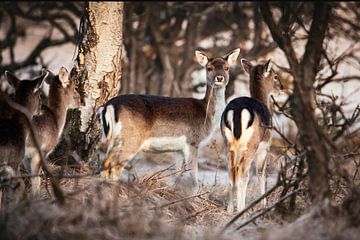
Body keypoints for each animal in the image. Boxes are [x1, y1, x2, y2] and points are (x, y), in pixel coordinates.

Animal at [21, 66, 85, 194]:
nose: (83, 102)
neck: (56, 123)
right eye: (75, 87)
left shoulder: (27, 157)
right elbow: (36, 179)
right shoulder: (41, 150)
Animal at [97, 47, 240, 189]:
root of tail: (109, 106)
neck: (207, 116)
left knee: (106, 162)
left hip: (115, 139)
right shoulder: (192, 142)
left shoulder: (178, 150)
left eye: (227, 68)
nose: (219, 78)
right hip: (132, 138)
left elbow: (177, 174)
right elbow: (194, 178)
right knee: (115, 166)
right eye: (209, 68)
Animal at [219, 59, 282, 213]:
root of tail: (237, 111)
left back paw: (230, 209)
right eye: (275, 76)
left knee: (231, 171)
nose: (281, 87)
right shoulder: (265, 146)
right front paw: (264, 204)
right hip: (251, 145)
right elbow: (261, 173)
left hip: (228, 143)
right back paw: (242, 208)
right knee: (242, 171)